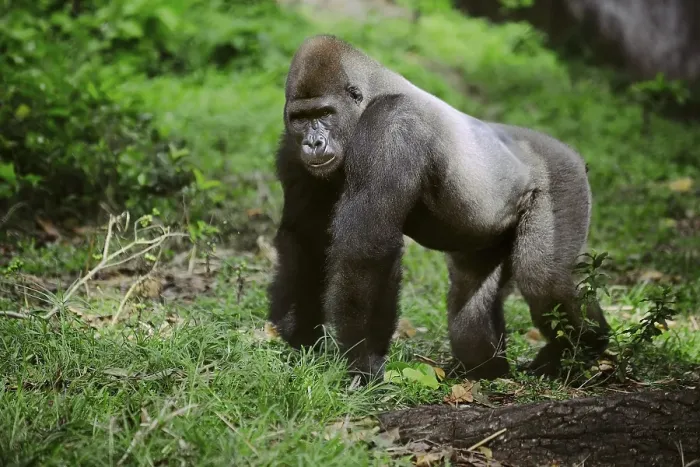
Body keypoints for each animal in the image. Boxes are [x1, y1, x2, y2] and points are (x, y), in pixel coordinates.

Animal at [267, 34, 610, 381]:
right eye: (300, 119)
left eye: (325, 113)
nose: (313, 143)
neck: (369, 98)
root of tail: (570, 151)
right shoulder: (291, 147)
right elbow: (305, 239)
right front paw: (299, 335)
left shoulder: (392, 126)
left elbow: (366, 250)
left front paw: (362, 360)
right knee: (470, 297)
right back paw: (488, 368)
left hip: (563, 175)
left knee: (543, 279)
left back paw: (584, 346)